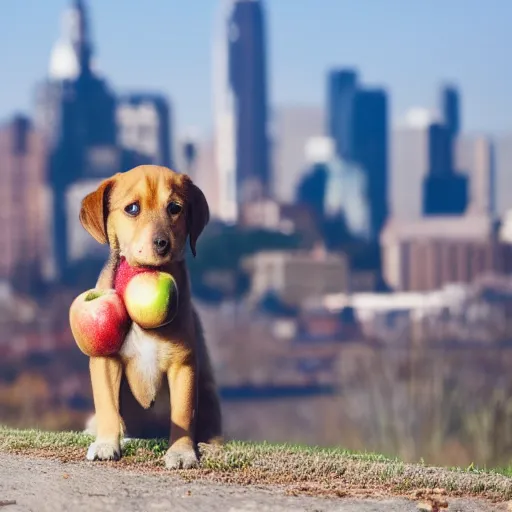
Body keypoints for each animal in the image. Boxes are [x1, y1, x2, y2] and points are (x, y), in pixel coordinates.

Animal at [78, 166, 222, 470]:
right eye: (132, 208)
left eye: (175, 208)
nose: (162, 244)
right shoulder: (105, 360)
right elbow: (107, 406)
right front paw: (107, 443)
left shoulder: (183, 363)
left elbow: (182, 413)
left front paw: (181, 452)